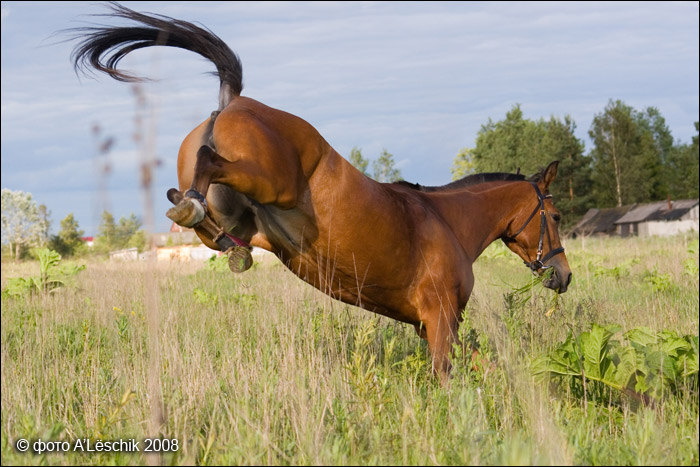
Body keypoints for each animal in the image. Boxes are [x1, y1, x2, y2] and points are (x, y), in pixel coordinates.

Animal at [74, 5, 572, 382]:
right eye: (556, 216)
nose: (563, 276)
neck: (450, 223)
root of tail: (234, 101)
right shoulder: (440, 317)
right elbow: (446, 374)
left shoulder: (429, 324)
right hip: (273, 185)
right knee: (209, 163)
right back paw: (193, 207)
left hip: (245, 223)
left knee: (203, 214)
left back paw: (207, 225)